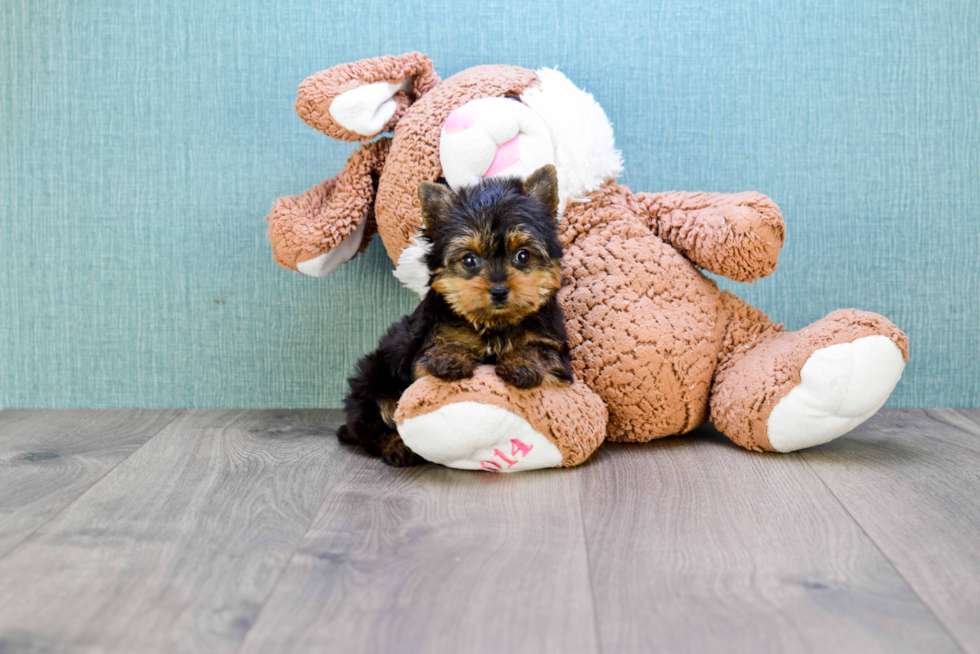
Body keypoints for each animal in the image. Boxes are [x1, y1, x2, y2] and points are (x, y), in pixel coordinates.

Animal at [338, 167, 576, 468]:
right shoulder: (421, 351)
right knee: (379, 420)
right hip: (373, 380)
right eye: (469, 260)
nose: (499, 290)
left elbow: (542, 352)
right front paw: (450, 357)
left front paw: (523, 363)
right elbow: (436, 352)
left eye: (523, 256)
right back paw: (397, 445)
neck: (494, 325)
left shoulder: (555, 348)